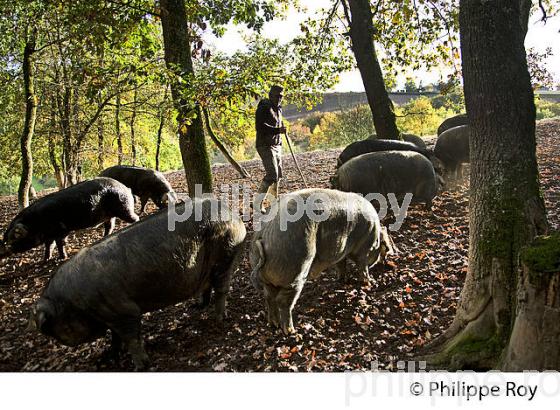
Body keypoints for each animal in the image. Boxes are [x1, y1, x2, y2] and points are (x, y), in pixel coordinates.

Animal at [0, 177, 139, 262]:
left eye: (13, 239)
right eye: (6, 238)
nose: (3, 252)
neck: (35, 223)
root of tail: (126, 187)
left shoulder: (61, 229)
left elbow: (60, 243)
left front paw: (62, 258)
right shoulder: (49, 235)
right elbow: (49, 245)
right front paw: (45, 260)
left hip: (124, 207)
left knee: (134, 217)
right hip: (109, 215)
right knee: (109, 225)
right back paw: (104, 237)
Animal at [27, 197, 243, 370]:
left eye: (53, 326)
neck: (74, 303)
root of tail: (233, 214)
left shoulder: (125, 311)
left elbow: (131, 338)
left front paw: (140, 366)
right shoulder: (110, 315)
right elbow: (115, 338)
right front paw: (108, 356)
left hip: (226, 253)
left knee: (222, 288)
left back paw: (219, 318)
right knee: (207, 287)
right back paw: (197, 307)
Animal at [249, 191, 394, 334]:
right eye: (383, 248)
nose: (385, 264)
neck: (375, 237)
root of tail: (264, 234)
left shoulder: (341, 251)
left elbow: (341, 265)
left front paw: (342, 280)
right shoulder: (364, 250)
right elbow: (362, 267)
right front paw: (369, 283)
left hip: (267, 279)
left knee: (269, 298)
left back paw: (274, 325)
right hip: (297, 269)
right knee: (283, 301)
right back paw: (292, 332)